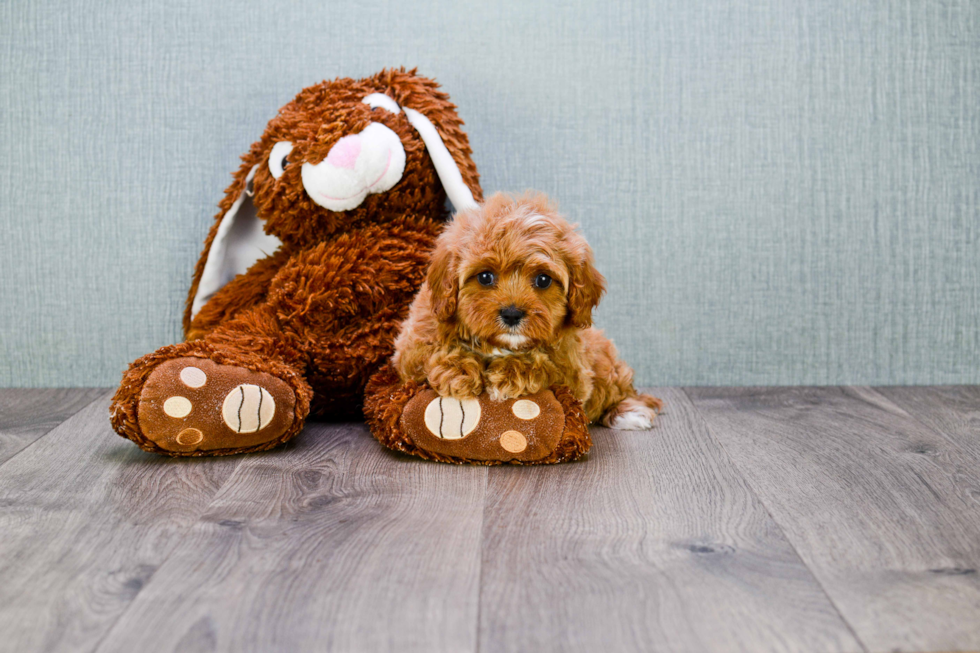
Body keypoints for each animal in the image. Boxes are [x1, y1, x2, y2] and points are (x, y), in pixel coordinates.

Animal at [394, 192, 664, 428]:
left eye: (543, 280)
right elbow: (430, 353)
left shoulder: (575, 372)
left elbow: (550, 367)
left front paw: (509, 373)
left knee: (618, 388)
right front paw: (457, 370)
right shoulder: (411, 348)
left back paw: (628, 412)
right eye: (485, 277)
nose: (512, 314)